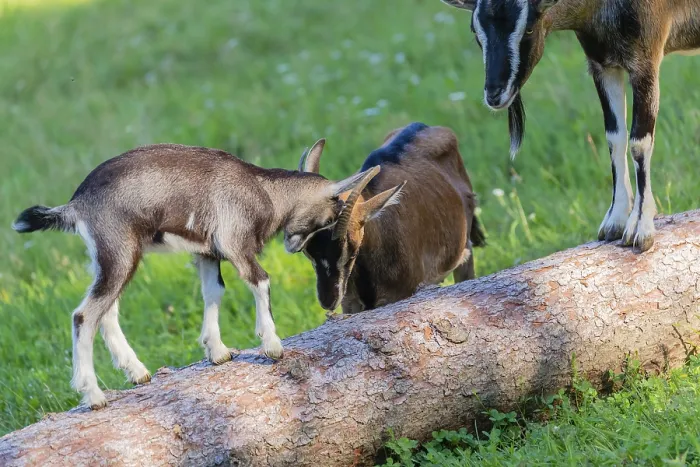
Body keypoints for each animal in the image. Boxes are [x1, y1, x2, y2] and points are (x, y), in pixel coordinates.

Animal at [12, 141, 379, 409]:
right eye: (330, 219)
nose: (293, 244)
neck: (263, 190)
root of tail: (76, 205)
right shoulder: (235, 242)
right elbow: (260, 279)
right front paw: (272, 346)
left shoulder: (207, 252)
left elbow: (214, 292)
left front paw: (217, 352)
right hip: (120, 253)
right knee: (84, 315)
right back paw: (93, 394)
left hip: (108, 258)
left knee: (107, 311)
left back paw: (137, 372)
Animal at [440, 0, 700, 252]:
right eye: (475, 30)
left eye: (529, 28)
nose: (495, 95)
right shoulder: (602, 63)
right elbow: (615, 138)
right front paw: (614, 222)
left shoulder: (646, 60)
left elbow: (640, 142)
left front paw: (640, 229)